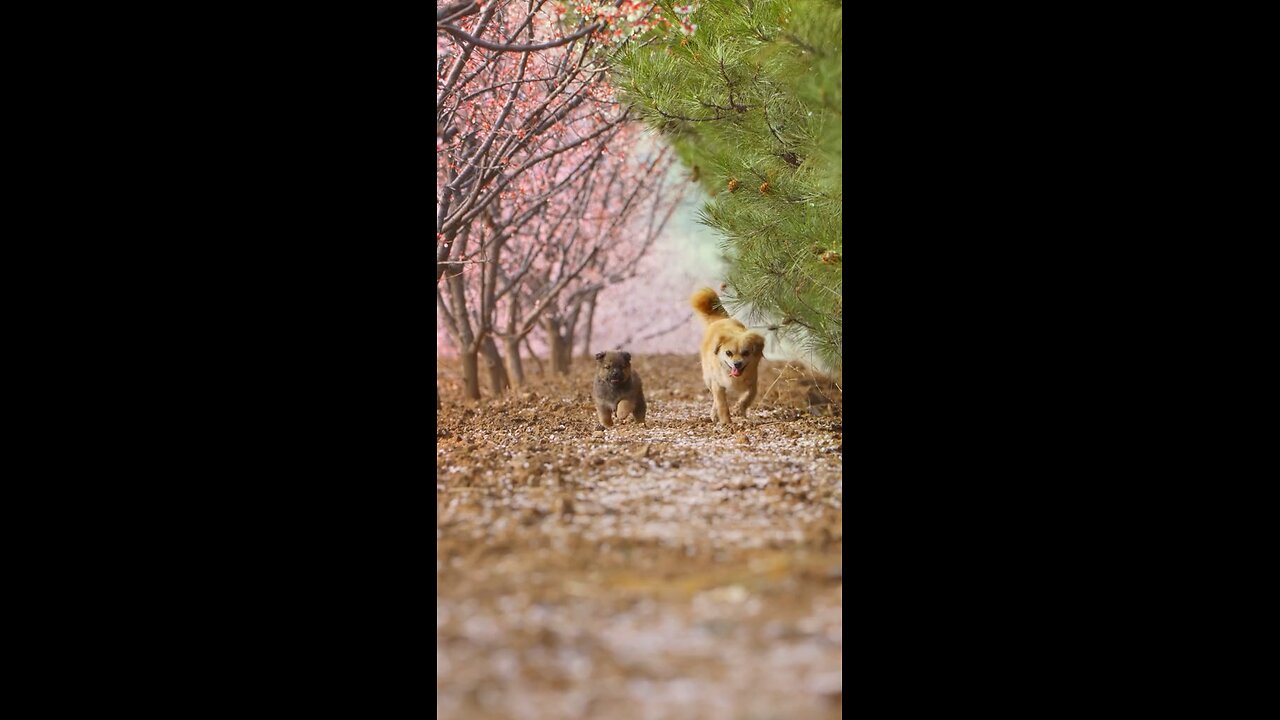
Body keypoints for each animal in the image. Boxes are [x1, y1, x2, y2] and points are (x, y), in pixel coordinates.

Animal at [696, 285, 762, 420]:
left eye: (746, 353)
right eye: (728, 353)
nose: (737, 363)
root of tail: (722, 319)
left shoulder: (752, 384)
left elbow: (748, 397)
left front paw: (739, 409)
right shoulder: (717, 384)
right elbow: (721, 404)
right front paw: (726, 421)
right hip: (708, 379)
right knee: (715, 399)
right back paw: (714, 414)